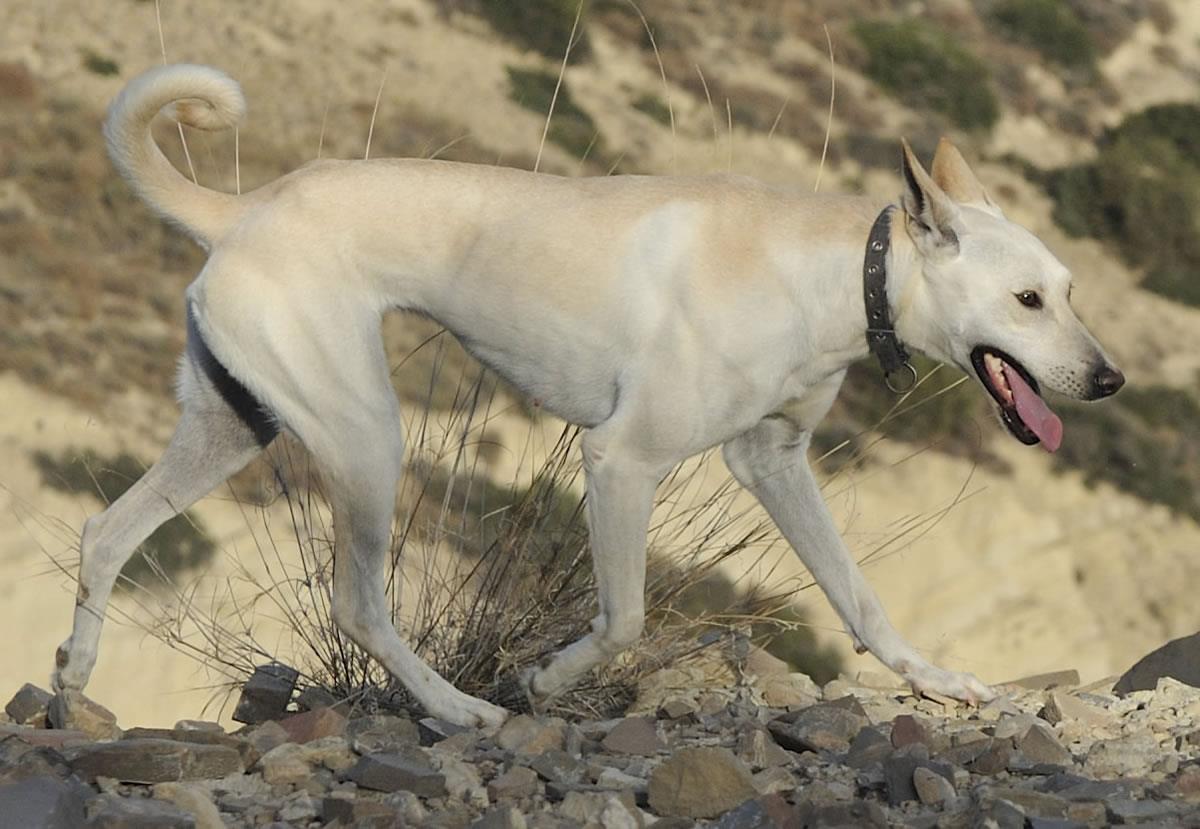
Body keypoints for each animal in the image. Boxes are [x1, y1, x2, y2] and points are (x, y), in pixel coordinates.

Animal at [54, 66, 1123, 724]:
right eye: (1026, 300)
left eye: (1071, 289)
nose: (1108, 380)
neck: (827, 271)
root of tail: (240, 211)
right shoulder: (621, 461)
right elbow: (624, 621)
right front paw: (542, 677)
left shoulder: (773, 461)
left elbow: (860, 599)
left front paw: (936, 680)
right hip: (364, 438)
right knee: (357, 604)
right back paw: (463, 709)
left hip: (233, 426)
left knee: (105, 533)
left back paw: (70, 679)